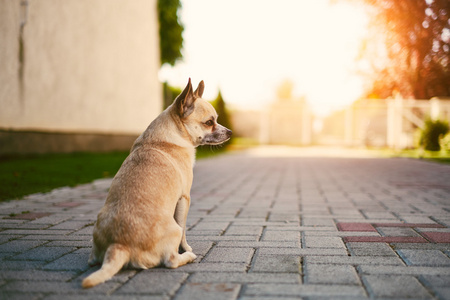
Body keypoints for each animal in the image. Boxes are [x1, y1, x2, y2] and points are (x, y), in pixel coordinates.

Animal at [81, 78, 232, 288]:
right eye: (209, 122)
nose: (230, 132)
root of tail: (119, 245)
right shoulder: (184, 199)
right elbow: (184, 232)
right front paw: (186, 248)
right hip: (173, 230)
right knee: (171, 260)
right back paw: (188, 257)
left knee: (92, 260)